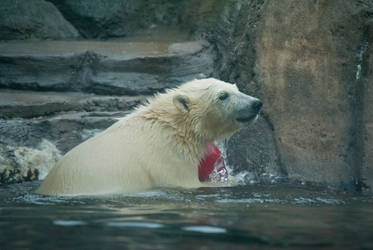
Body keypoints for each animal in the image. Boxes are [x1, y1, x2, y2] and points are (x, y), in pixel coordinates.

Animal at [35, 78, 262, 195]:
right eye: (222, 96)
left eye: (236, 88)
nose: (256, 103)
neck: (171, 126)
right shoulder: (168, 155)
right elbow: (188, 182)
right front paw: (237, 179)